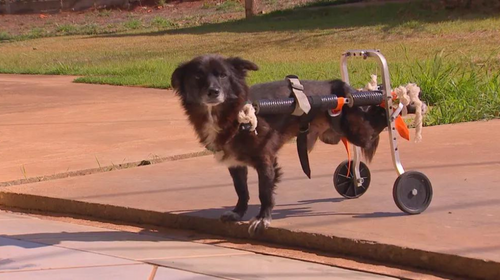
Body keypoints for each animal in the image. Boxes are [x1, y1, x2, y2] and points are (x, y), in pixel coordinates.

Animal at [171, 54, 386, 234]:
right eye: (198, 76)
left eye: (223, 75)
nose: (213, 92)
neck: (237, 113)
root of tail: (342, 87)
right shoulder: (235, 163)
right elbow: (241, 189)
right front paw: (238, 212)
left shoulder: (265, 160)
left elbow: (264, 192)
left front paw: (263, 219)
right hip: (332, 136)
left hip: (358, 132)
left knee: (378, 124)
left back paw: (386, 98)